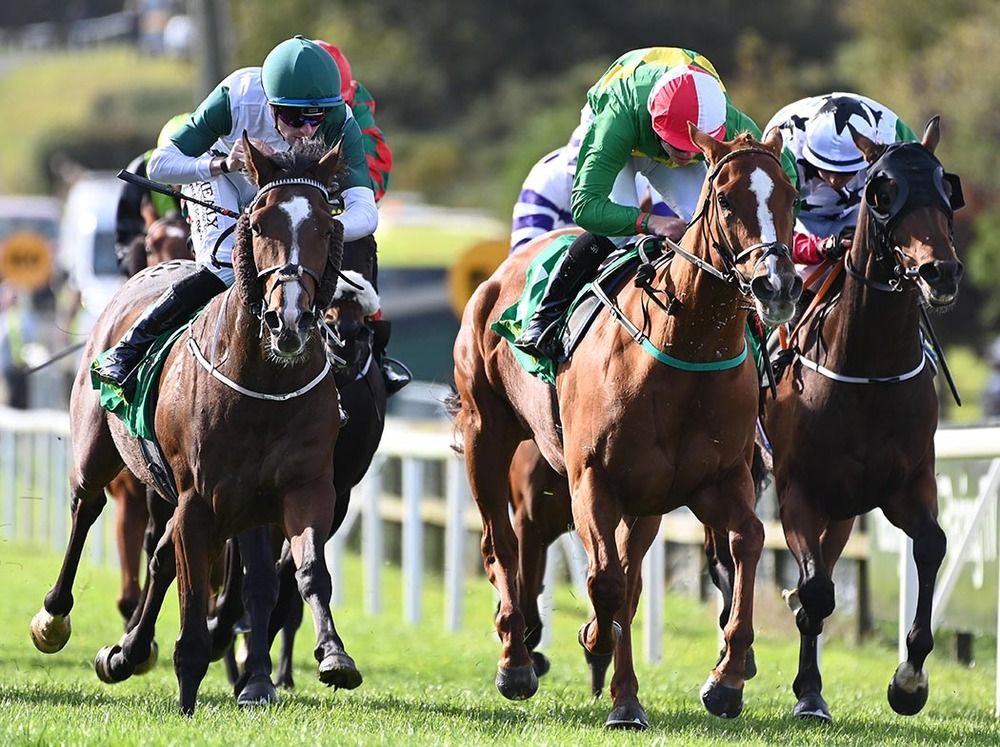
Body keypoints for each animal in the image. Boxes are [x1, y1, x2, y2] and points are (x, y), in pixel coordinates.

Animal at [450, 125, 800, 728]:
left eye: (791, 197)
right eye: (726, 199)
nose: (775, 286)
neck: (682, 347)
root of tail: (499, 275)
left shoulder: (716, 480)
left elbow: (747, 541)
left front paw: (727, 679)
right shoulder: (593, 479)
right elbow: (604, 582)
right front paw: (594, 647)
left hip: (646, 502)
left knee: (631, 577)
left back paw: (623, 690)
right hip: (485, 434)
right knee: (502, 546)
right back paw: (517, 661)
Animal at [760, 118, 964, 724]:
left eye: (945, 189)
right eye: (884, 191)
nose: (940, 272)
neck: (867, 368)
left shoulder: (906, 484)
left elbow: (932, 546)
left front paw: (909, 681)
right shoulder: (797, 490)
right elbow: (816, 592)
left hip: (845, 510)